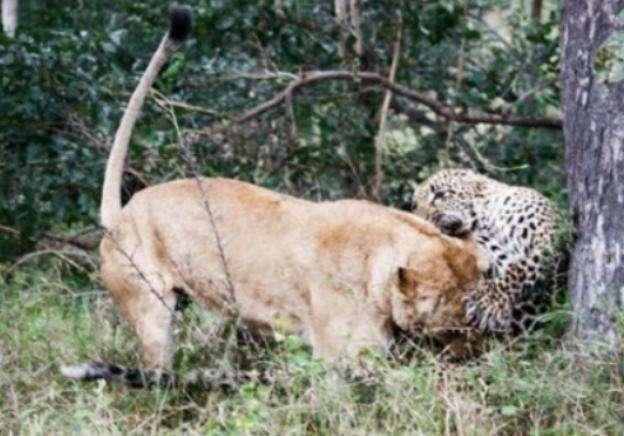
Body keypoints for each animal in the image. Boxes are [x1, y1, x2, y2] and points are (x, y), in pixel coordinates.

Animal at [412, 169, 560, 332]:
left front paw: (485, 304)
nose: (423, 220)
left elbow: (520, 269)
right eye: (415, 206)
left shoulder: (547, 238)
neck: (484, 219)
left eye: (439, 194)